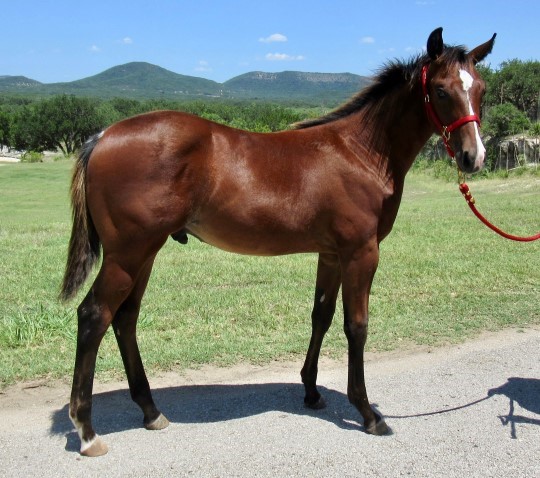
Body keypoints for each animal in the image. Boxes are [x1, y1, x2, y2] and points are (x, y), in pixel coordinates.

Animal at [61, 29, 496, 456]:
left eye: (481, 88)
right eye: (441, 90)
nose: (473, 156)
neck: (360, 153)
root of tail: (103, 135)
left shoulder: (331, 255)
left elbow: (321, 316)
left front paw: (312, 392)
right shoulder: (361, 253)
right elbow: (356, 326)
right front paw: (368, 414)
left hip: (144, 254)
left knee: (125, 318)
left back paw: (151, 412)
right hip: (128, 255)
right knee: (94, 316)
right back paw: (87, 432)